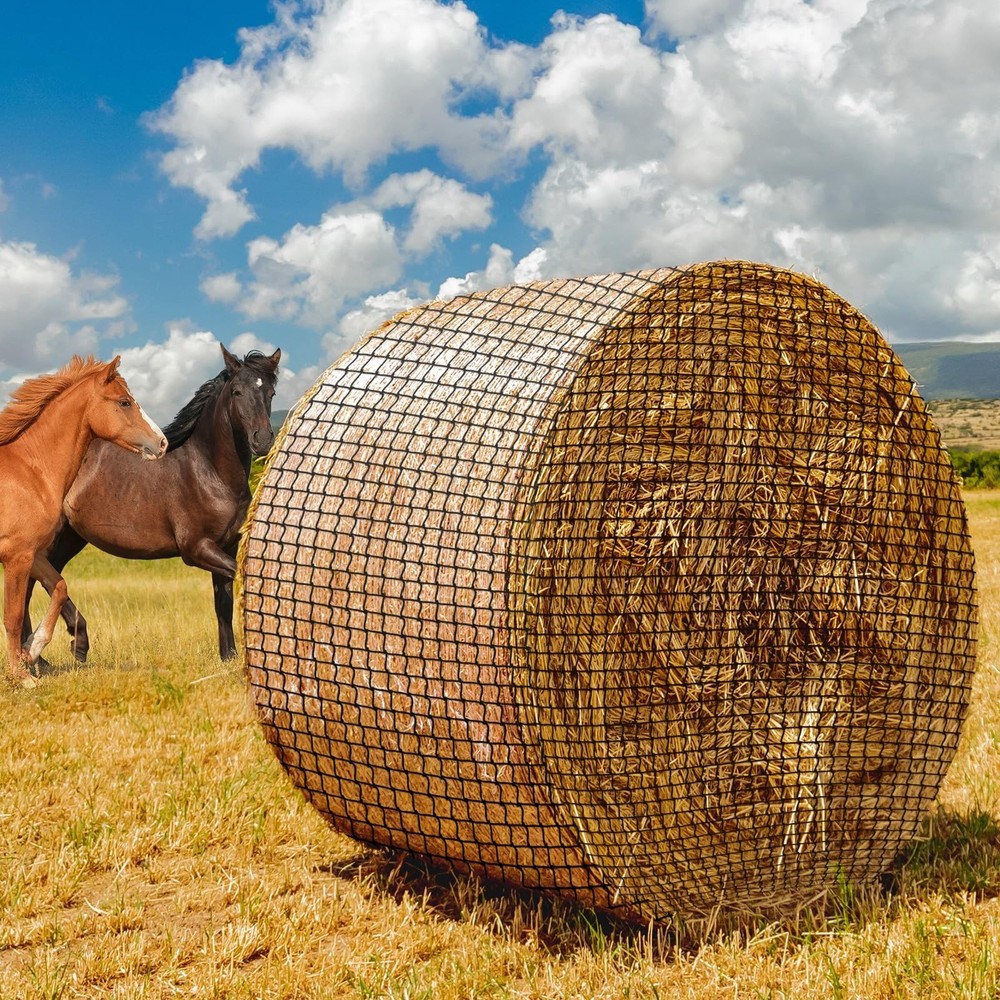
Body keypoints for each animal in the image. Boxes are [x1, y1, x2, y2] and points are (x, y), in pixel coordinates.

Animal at [0, 355, 166, 686]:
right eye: (124, 402)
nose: (162, 443)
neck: (31, 471)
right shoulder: (16, 556)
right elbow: (12, 617)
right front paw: (22, 676)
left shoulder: (33, 554)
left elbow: (60, 588)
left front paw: (32, 651)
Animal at [23, 345, 280, 665]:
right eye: (237, 391)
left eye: (271, 392)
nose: (263, 439)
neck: (209, 472)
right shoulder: (197, 549)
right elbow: (243, 576)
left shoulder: (226, 546)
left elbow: (223, 603)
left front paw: (228, 657)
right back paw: (52, 650)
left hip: (71, 537)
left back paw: (50, 653)